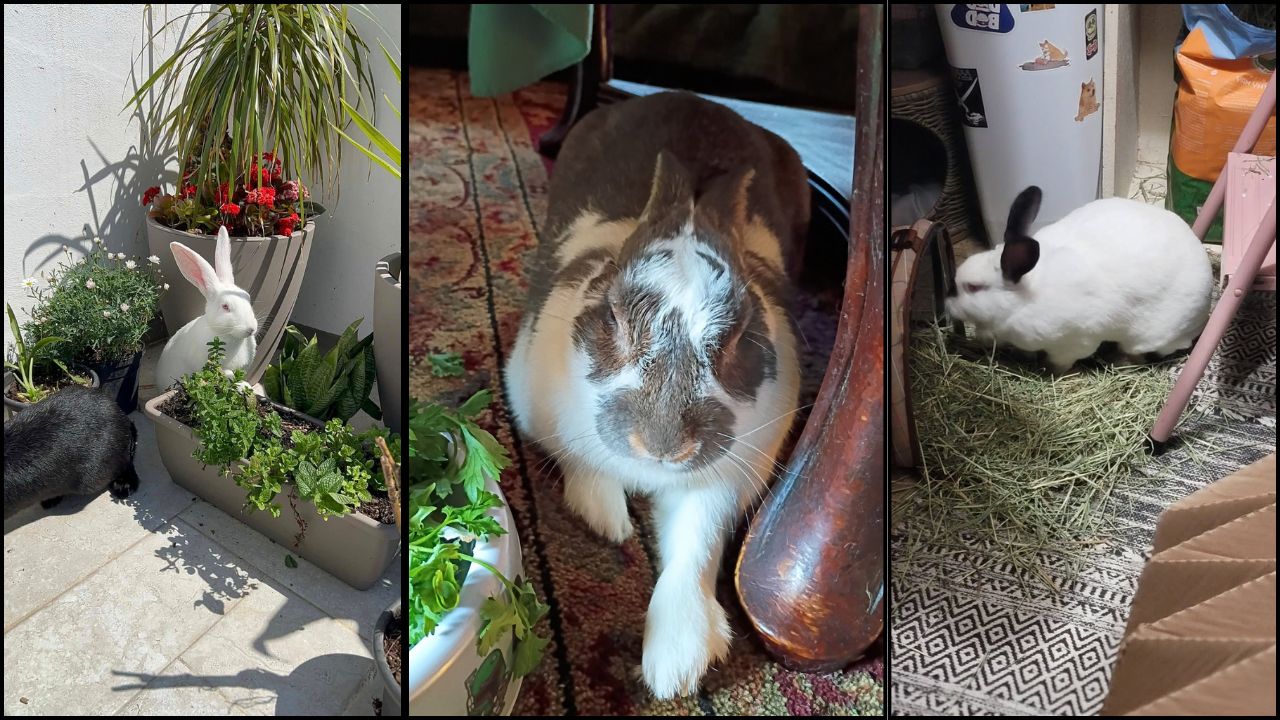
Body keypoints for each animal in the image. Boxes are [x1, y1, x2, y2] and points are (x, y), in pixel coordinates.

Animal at [155, 225, 258, 390]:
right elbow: (227, 374)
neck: (228, 336)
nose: (251, 329)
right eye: (225, 306)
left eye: (247, 297)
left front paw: (244, 385)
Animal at [505, 92, 808, 700]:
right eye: (615, 316)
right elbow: (585, 468)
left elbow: (697, 543)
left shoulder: (725, 479)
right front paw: (609, 520)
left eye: (741, 332)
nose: (664, 445)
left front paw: (675, 665)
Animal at [946, 185, 1213, 372]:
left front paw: (1047, 371)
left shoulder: (1071, 344)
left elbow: (1060, 363)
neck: (1024, 298)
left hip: (1146, 337)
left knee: (1137, 355)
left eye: (974, 287)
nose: (947, 305)